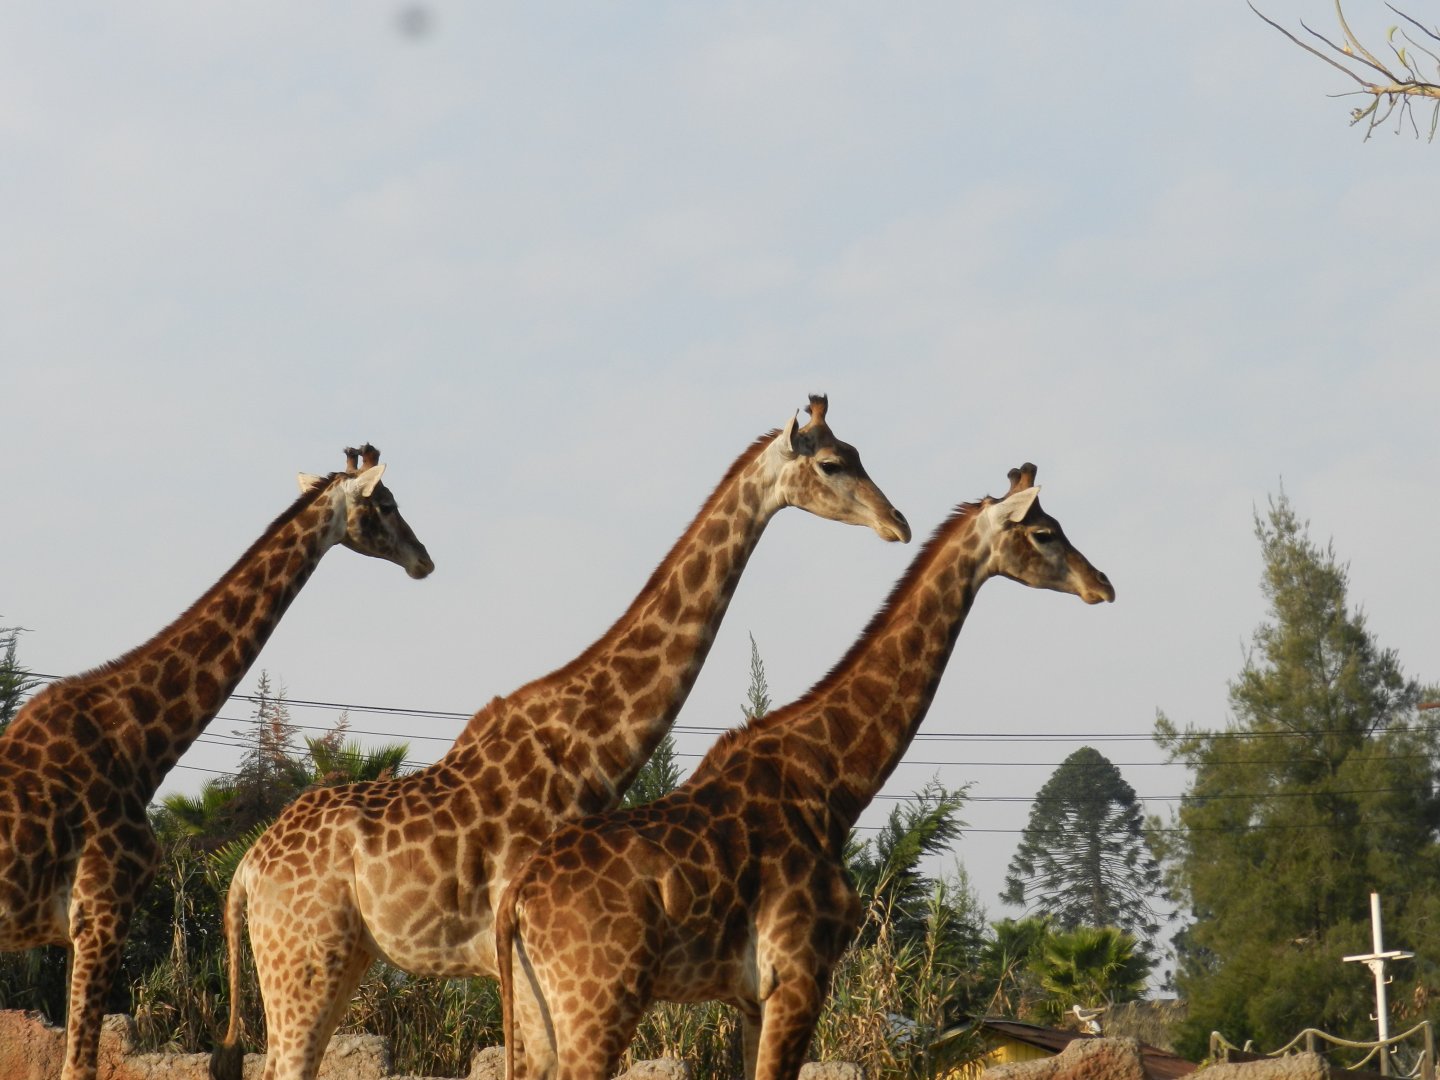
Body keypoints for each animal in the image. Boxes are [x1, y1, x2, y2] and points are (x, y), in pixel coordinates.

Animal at [0, 444, 433, 1080]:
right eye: (388, 504)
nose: (425, 559)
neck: (138, 740)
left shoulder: (82, 926)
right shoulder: (102, 911)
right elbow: (78, 1065)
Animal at [210, 395, 910, 1080]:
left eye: (856, 454)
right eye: (831, 463)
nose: (897, 522)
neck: (588, 745)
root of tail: (247, 868)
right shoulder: (521, 956)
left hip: (341, 956)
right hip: (305, 957)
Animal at [495, 463, 1115, 1080]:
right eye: (1044, 533)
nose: (1103, 584)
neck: (834, 779)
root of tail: (516, 898)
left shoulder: (752, 997)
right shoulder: (799, 975)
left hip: (536, 1012)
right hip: (599, 1001)